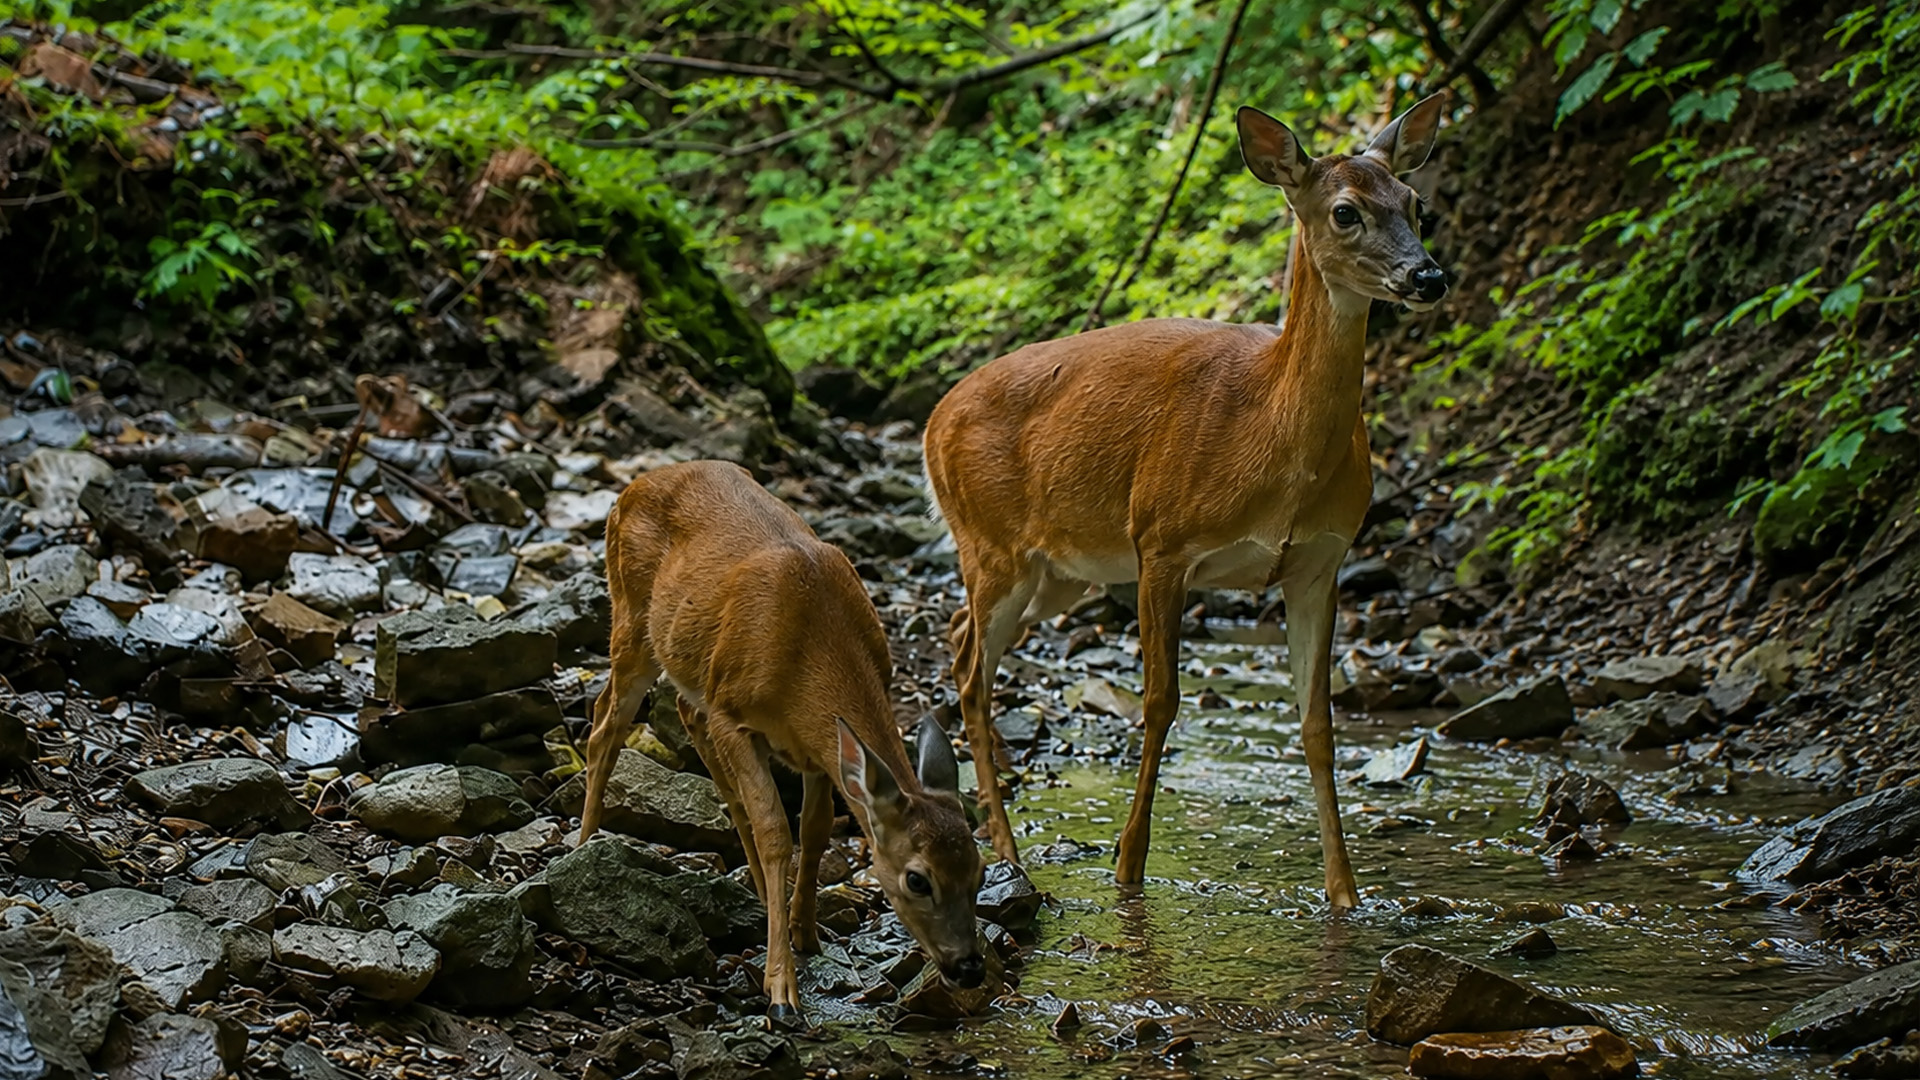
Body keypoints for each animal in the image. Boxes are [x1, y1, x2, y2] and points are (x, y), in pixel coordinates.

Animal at [577, 460, 987, 1019]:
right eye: (917, 879)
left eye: (980, 871)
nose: (969, 967)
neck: (807, 652)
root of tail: (632, 488)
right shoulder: (734, 712)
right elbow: (776, 830)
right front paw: (781, 990)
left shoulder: (817, 748)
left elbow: (814, 829)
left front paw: (806, 932)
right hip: (631, 617)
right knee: (604, 725)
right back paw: (581, 846)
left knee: (685, 714)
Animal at [922, 93, 1451, 909]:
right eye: (1345, 211)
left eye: (1417, 204)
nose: (1428, 277)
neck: (1272, 441)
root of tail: (932, 419)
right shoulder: (1162, 541)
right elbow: (1161, 702)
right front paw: (1127, 866)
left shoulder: (1319, 563)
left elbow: (1317, 724)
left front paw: (1346, 894)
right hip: (993, 543)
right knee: (976, 672)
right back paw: (1006, 850)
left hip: (1060, 573)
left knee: (956, 638)